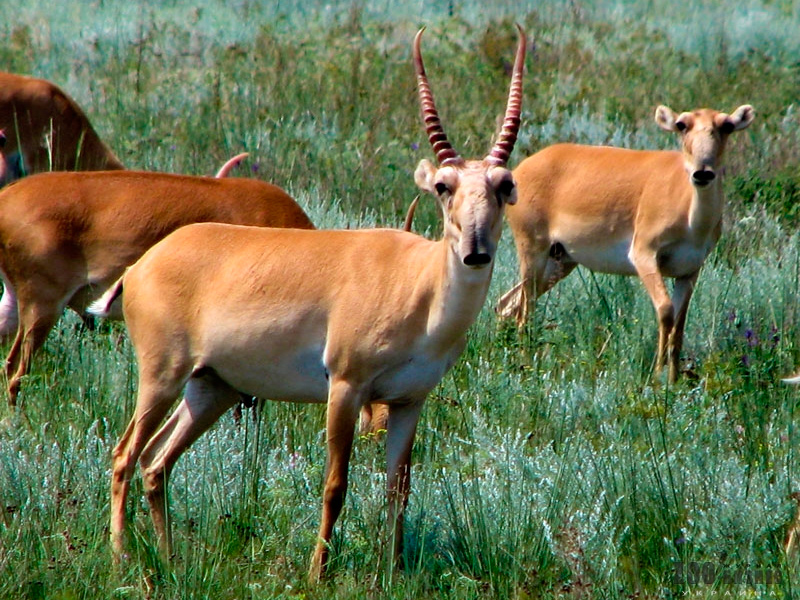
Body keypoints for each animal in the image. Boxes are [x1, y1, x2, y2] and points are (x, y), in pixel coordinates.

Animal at [89, 24, 524, 580]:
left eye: (504, 184)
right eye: (445, 187)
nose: (476, 250)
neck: (416, 283)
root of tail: (142, 266)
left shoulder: (408, 402)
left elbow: (398, 491)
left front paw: (392, 571)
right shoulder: (345, 389)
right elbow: (336, 485)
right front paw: (318, 572)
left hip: (212, 389)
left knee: (156, 462)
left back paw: (170, 561)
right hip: (163, 375)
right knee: (125, 454)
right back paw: (121, 559)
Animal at [496, 104, 752, 380]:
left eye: (727, 125)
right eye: (682, 124)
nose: (702, 172)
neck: (691, 218)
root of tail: (519, 170)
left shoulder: (689, 271)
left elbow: (679, 324)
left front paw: (673, 381)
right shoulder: (644, 255)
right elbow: (665, 311)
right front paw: (658, 378)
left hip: (560, 262)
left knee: (506, 304)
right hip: (533, 254)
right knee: (524, 311)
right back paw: (523, 365)